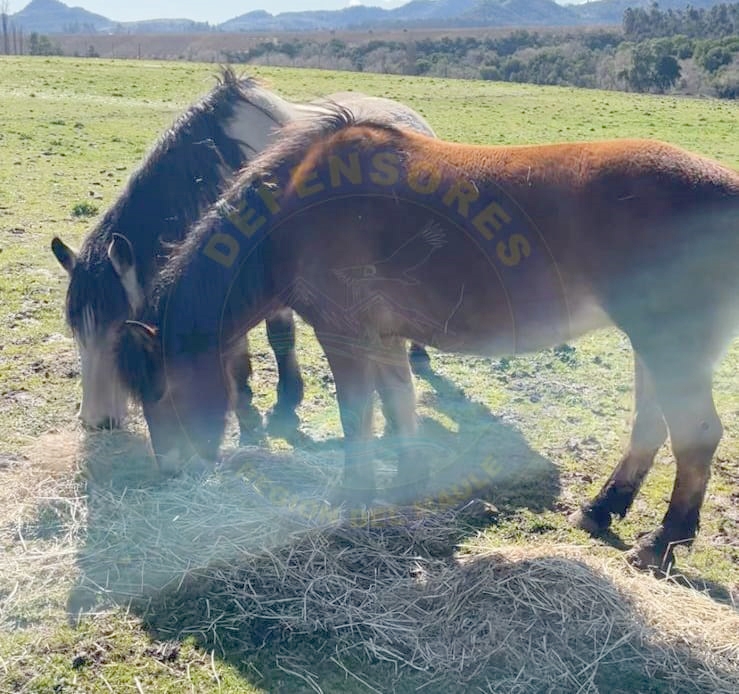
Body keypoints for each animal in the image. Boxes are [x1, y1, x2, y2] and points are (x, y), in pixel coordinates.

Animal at [117, 106, 739, 572]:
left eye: (162, 394)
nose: (171, 472)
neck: (297, 208)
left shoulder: (345, 336)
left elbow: (358, 417)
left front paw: (354, 493)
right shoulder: (385, 338)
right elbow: (400, 406)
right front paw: (408, 481)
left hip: (671, 344)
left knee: (696, 436)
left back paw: (662, 541)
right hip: (653, 344)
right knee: (650, 426)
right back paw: (603, 508)